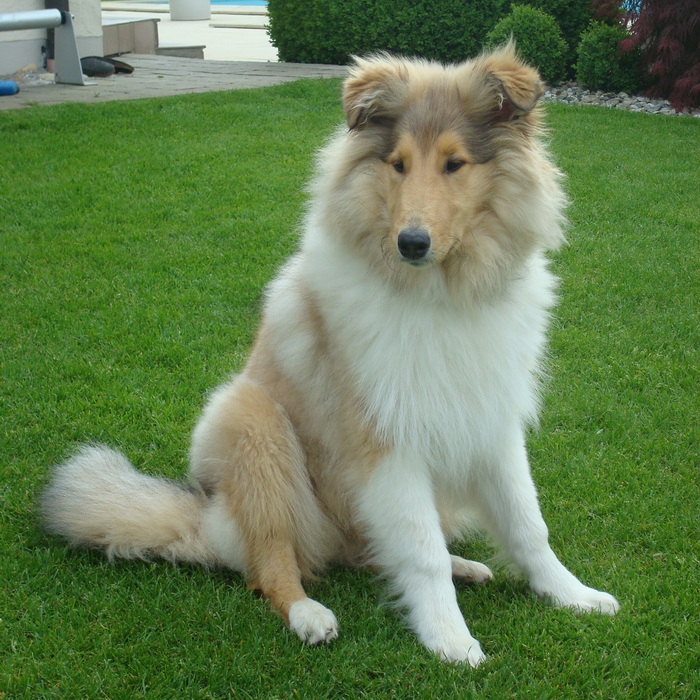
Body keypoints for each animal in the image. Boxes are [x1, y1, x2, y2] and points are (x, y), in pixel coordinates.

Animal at [40, 45, 619, 666]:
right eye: (397, 164)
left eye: (455, 164)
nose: (411, 243)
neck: (441, 295)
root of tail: (205, 517)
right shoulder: (385, 439)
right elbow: (421, 550)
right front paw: (449, 639)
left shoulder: (491, 419)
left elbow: (527, 525)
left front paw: (572, 595)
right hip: (254, 423)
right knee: (271, 564)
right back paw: (310, 615)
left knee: (369, 552)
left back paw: (465, 565)